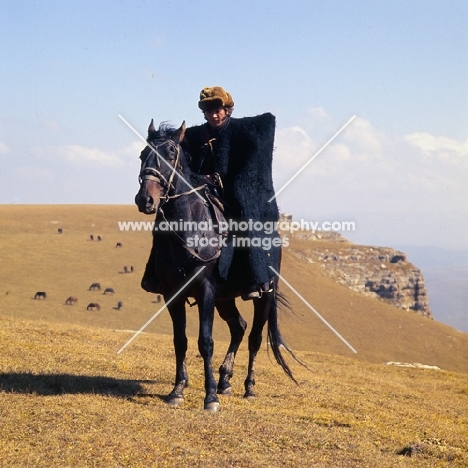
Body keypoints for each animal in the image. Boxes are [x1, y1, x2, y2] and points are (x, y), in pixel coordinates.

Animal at [133, 119, 298, 410]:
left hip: (263, 295)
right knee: (239, 327)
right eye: (143, 155)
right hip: (225, 298)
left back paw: (248, 387)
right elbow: (180, 341)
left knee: (255, 337)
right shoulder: (173, 294)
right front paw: (177, 390)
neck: (190, 230)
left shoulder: (206, 291)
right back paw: (225, 379)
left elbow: (205, 341)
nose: (146, 200)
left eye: (172, 155)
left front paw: (209, 397)